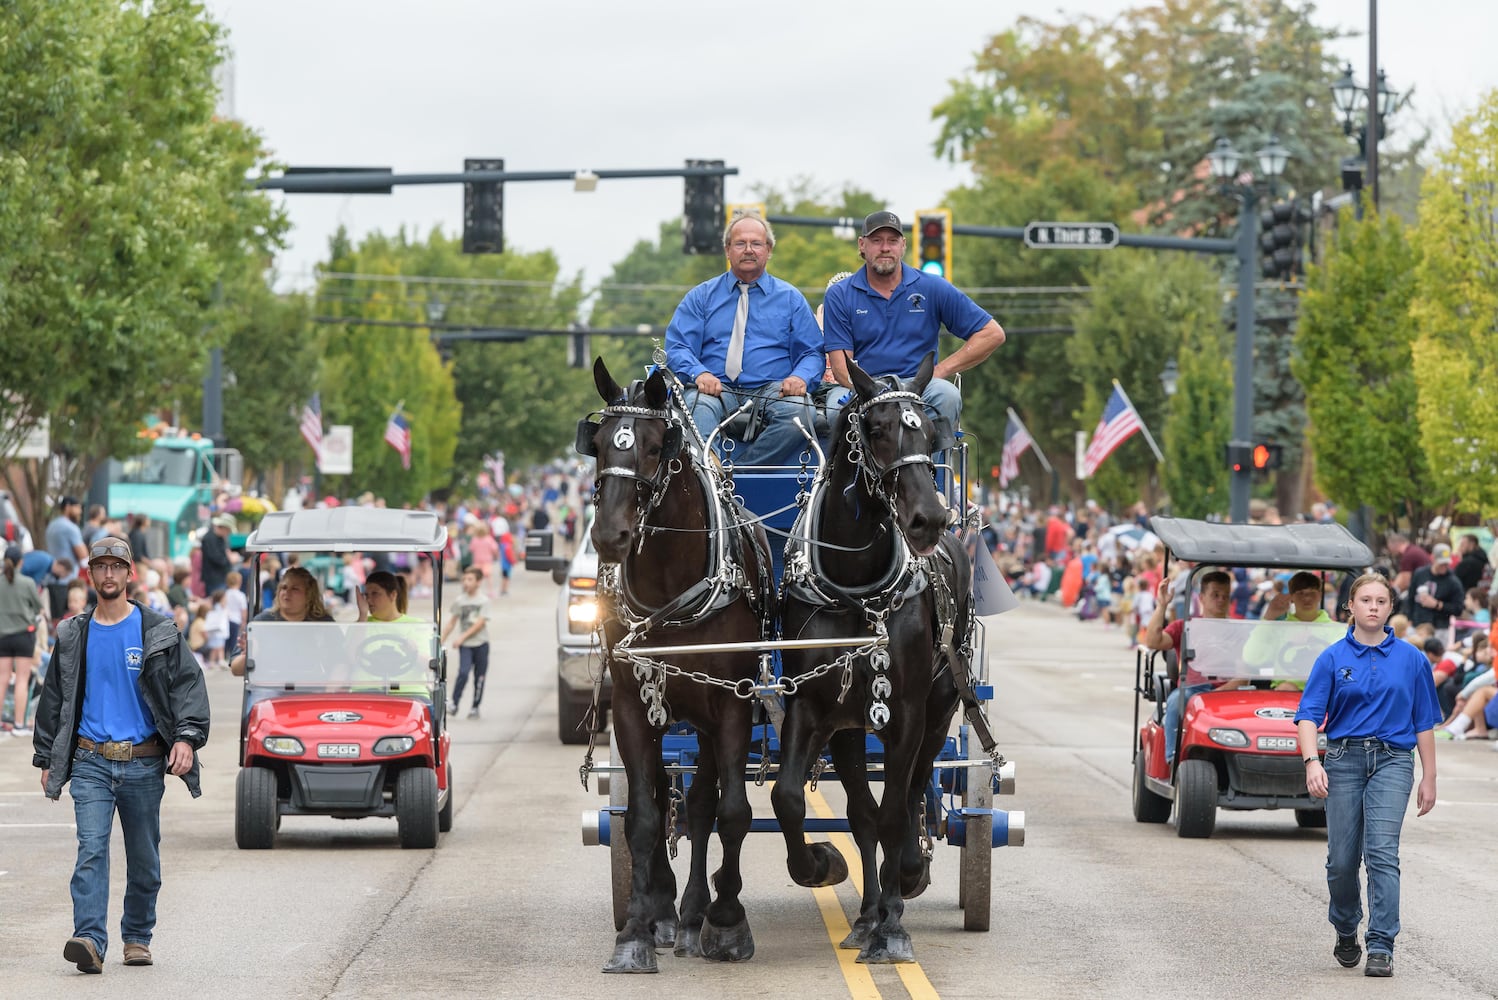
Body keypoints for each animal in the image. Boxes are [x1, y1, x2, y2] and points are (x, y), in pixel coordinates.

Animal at [584, 360, 772, 976]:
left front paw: (727, 923)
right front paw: (636, 931)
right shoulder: (632, 707)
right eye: (597, 444)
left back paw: (693, 915)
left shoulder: (732, 701)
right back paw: (669, 913)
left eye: (652, 447)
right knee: (675, 798)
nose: (609, 536)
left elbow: (731, 811)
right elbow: (643, 817)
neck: (672, 587)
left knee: (703, 803)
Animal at [772, 354, 970, 964]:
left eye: (930, 432)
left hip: (941, 706)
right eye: (878, 430)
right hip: (855, 725)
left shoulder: (904, 713)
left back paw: (906, 875)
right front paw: (824, 868)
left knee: (915, 792)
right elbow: (795, 799)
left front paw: (895, 917)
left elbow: (893, 813)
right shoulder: (818, 709)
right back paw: (868, 911)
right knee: (870, 809)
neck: (857, 589)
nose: (929, 519)